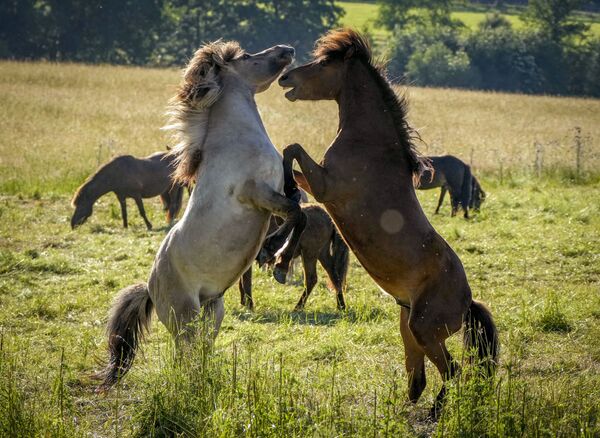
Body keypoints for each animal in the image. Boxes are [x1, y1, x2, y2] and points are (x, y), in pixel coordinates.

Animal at [98, 41, 308, 390]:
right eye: (247, 57)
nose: (287, 49)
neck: (237, 143)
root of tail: (150, 288)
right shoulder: (256, 193)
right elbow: (295, 215)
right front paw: (274, 257)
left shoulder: (276, 192)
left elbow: (296, 207)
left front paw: (274, 255)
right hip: (187, 316)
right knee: (185, 355)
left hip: (214, 310)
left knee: (200, 351)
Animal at [270, 29, 500, 420]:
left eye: (323, 63)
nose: (286, 78)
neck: (368, 142)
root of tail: (468, 300)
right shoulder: (319, 186)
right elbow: (292, 172)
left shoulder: (326, 185)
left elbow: (292, 150)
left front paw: (281, 261)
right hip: (408, 328)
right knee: (418, 379)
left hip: (424, 330)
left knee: (451, 371)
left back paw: (435, 414)